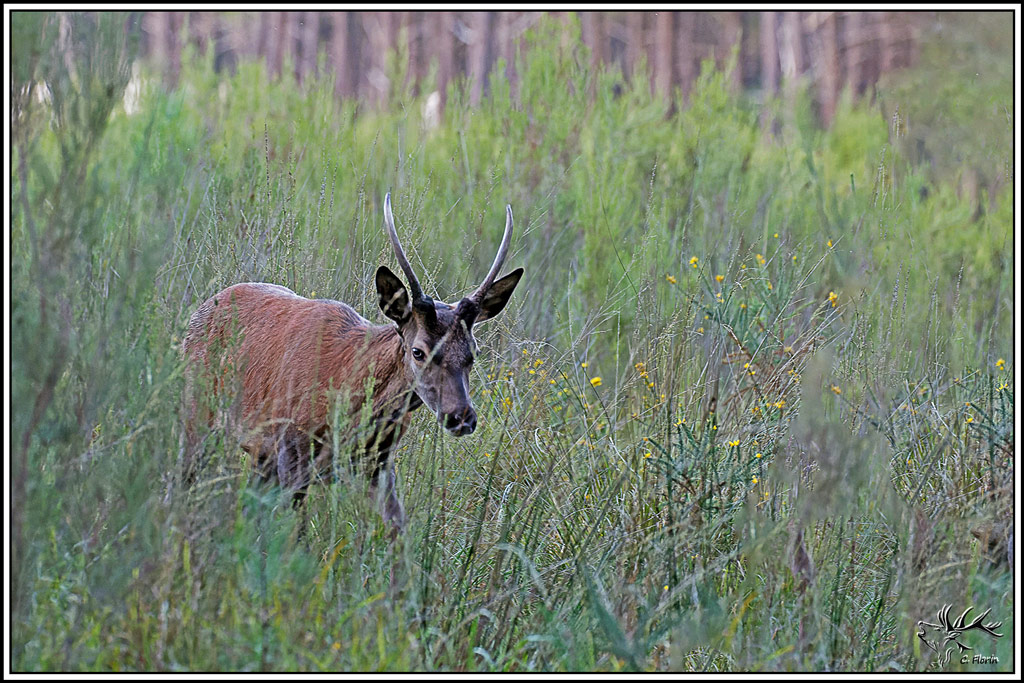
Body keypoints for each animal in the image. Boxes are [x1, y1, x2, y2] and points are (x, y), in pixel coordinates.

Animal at [181, 193, 523, 533]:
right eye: (418, 351)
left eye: (473, 352)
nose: (461, 417)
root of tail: (200, 311)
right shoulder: (292, 451)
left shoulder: (379, 463)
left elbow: (397, 529)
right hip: (199, 417)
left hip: (259, 455)